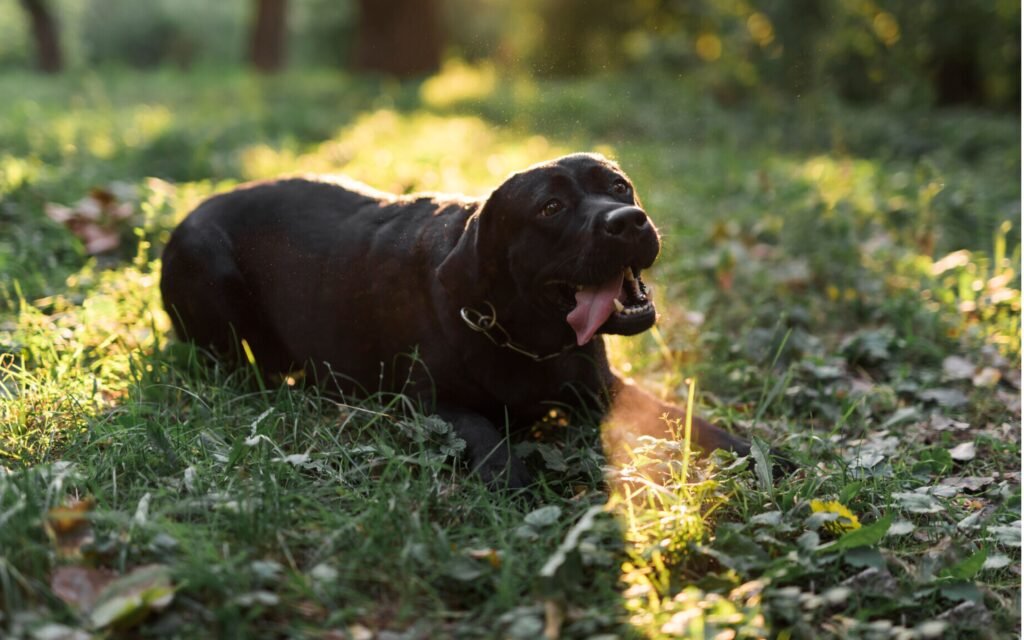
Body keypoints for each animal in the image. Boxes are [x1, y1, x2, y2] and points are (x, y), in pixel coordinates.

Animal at [161, 153, 753, 483]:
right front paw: (514, 478)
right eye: (551, 208)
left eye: (619, 187)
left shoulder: (602, 387)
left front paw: (753, 451)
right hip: (212, 268)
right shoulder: (426, 403)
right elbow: (484, 438)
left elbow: (681, 416)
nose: (628, 220)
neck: (523, 332)